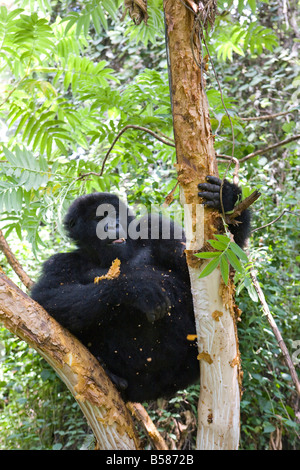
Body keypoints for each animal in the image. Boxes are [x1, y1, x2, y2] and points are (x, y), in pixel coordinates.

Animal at [31, 174, 251, 402]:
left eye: (114, 213)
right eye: (97, 218)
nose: (112, 225)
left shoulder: (157, 227)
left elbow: (211, 265)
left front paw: (225, 198)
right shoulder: (61, 262)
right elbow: (46, 298)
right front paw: (138, 289)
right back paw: (110, 373)